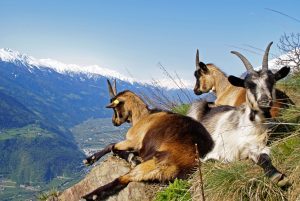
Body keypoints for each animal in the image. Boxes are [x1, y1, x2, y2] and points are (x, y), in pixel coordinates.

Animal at [81, 79, 213, 199]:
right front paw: (131, 157)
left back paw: (90, 195)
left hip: (152, 164)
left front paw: (90, 159)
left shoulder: (134, 141)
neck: (142, 117)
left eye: (115, 108)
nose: (114, 122)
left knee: (122, 178)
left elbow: (112, 146)